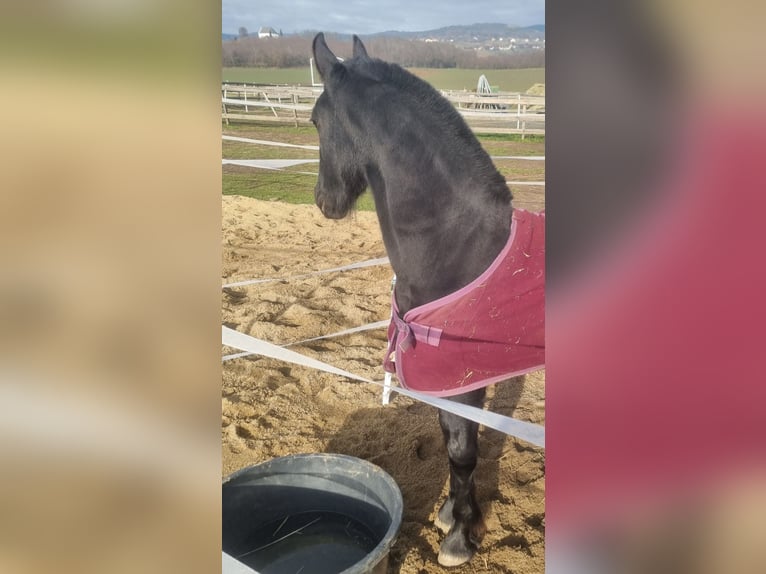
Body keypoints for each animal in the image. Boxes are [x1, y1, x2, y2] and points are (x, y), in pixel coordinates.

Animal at [310, 33, 544, 567]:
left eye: (315, 120)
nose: (323, 202)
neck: (457, 242)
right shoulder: (447, 376)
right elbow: (451, 435)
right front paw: (454, 515)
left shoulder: (465, 377)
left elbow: (461, 447)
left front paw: (457, 540)